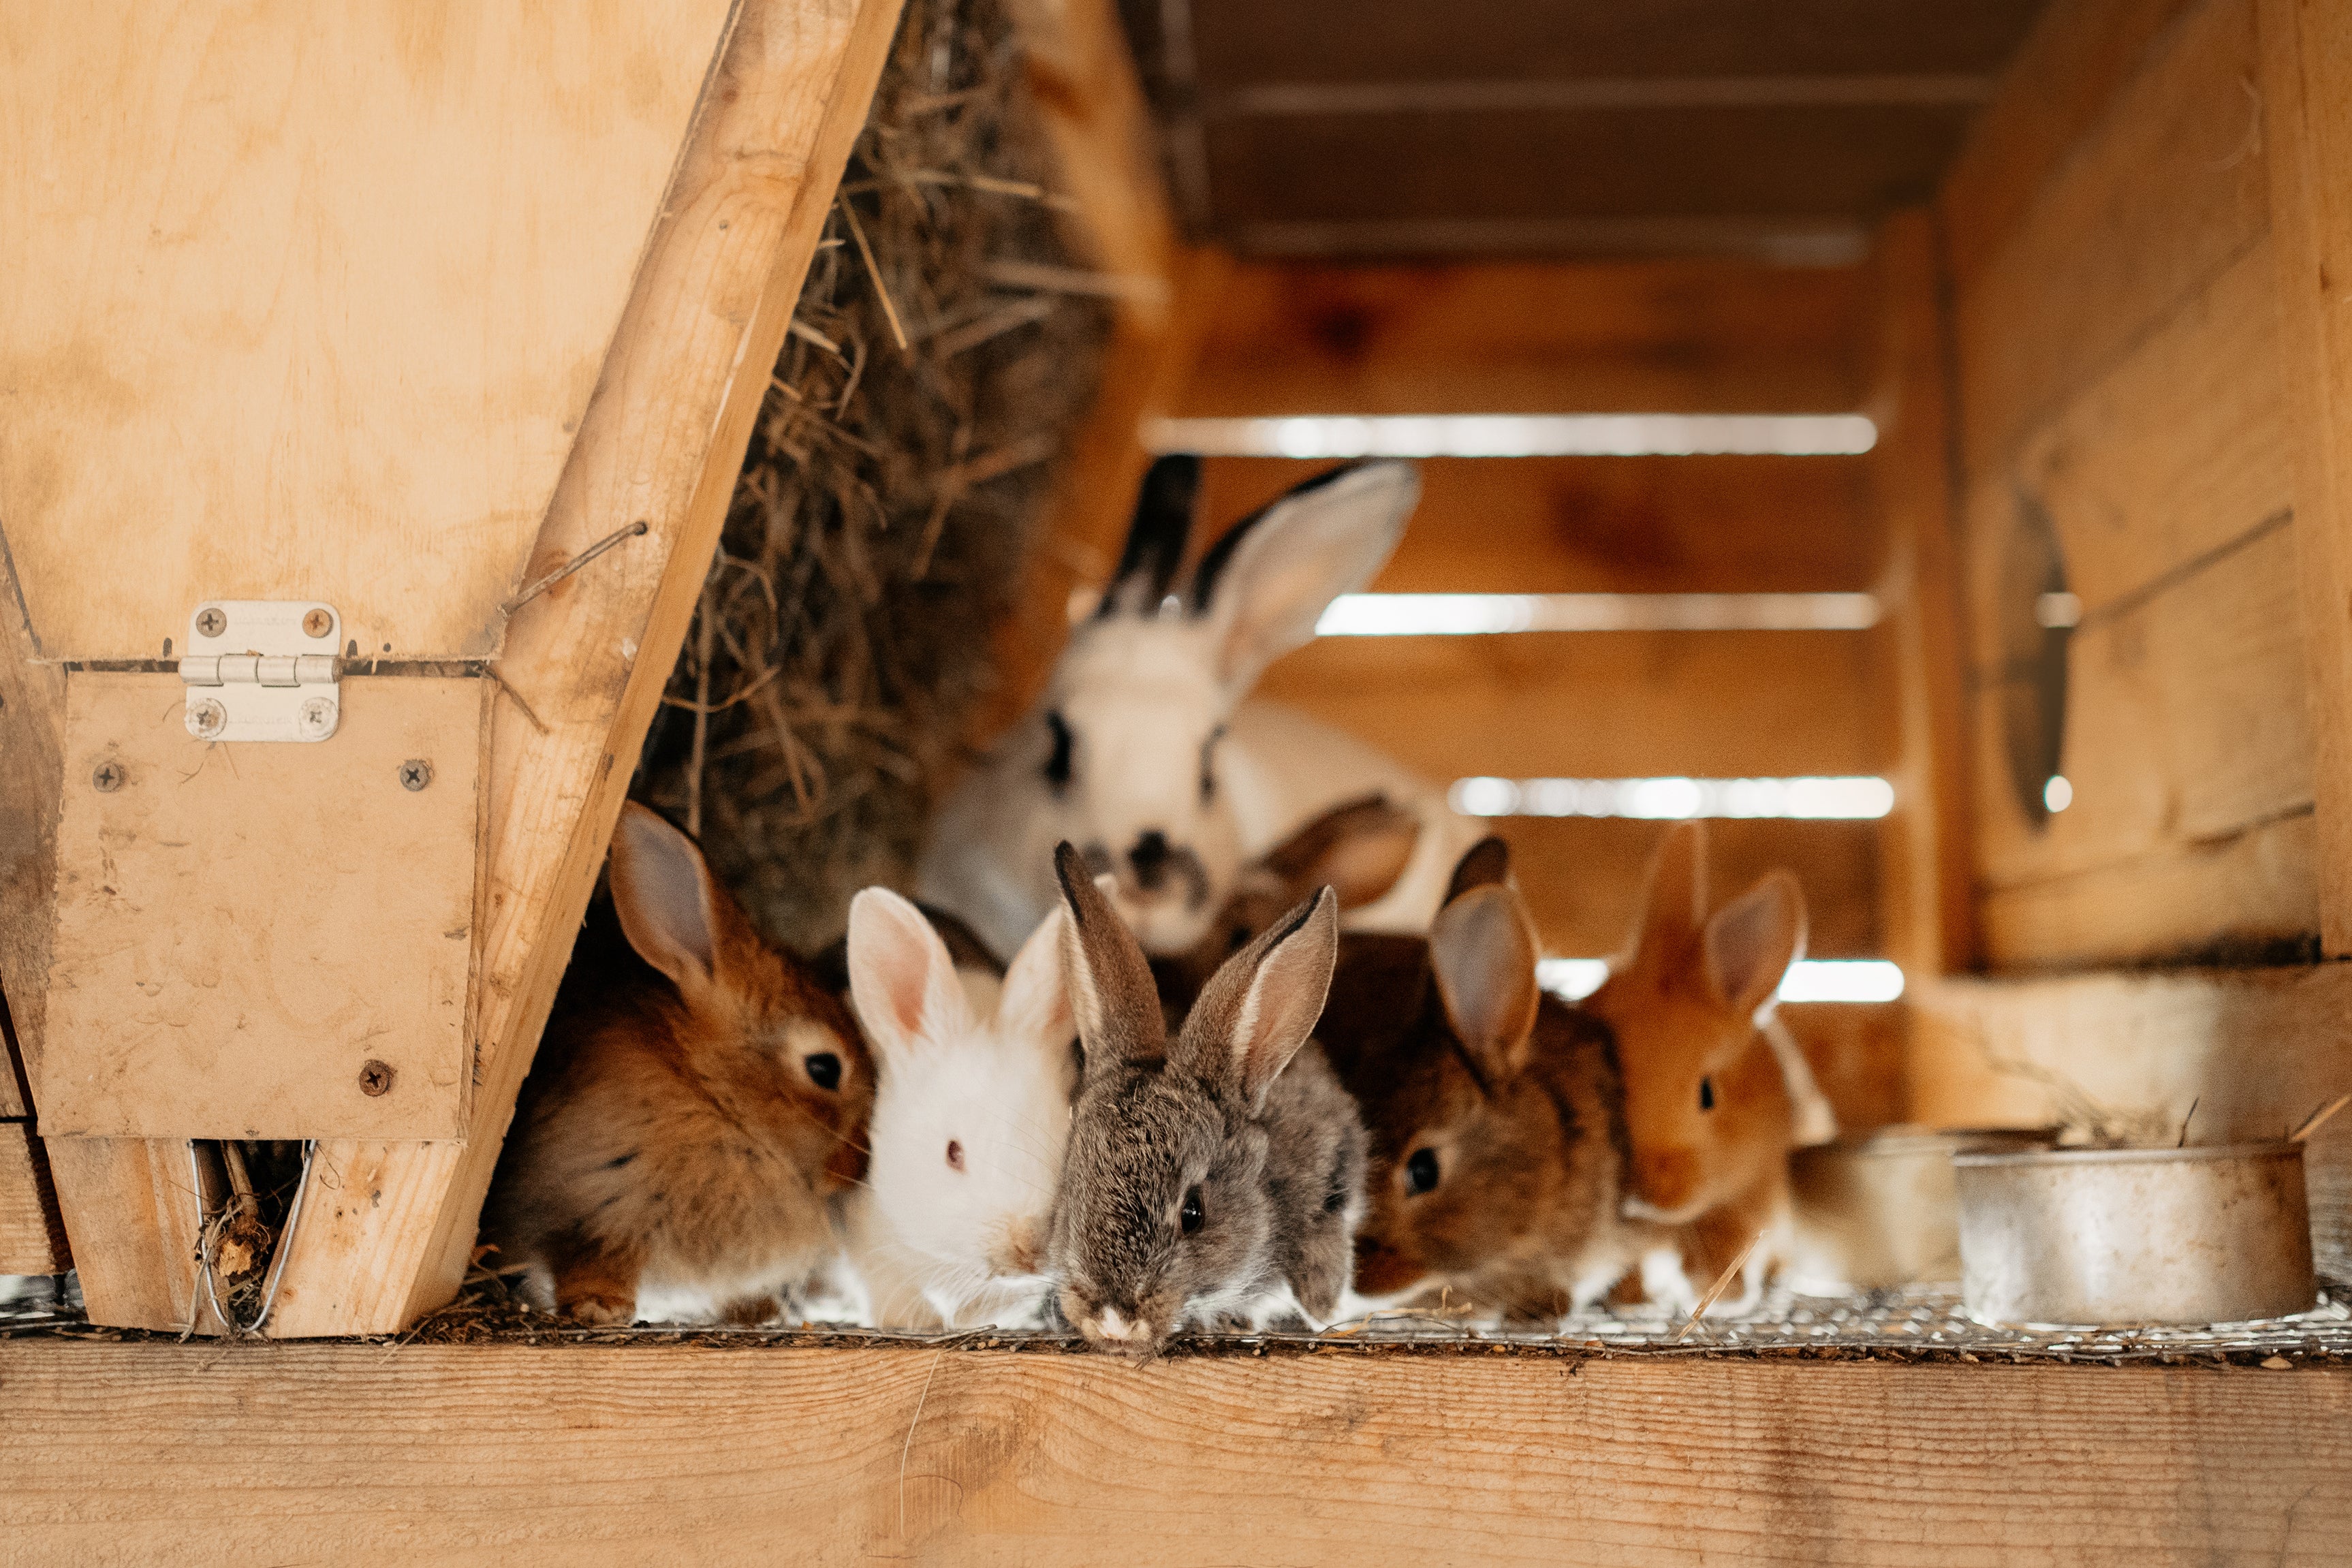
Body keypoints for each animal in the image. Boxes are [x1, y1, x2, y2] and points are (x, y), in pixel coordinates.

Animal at [482, 802, 874, 1325]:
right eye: (825, 1069)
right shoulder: (591, 1209)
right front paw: (601, 1307)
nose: (857, 1165)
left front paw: (758, 1312)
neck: (709, 1093)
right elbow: (590, 1258)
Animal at [1580, 820, 1821, 1314]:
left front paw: (1725, 1297)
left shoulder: (1750, 1199)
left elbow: (1727, 1248)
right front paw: (1630, 1301)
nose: (1648, 1191)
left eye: (1708, 1094)